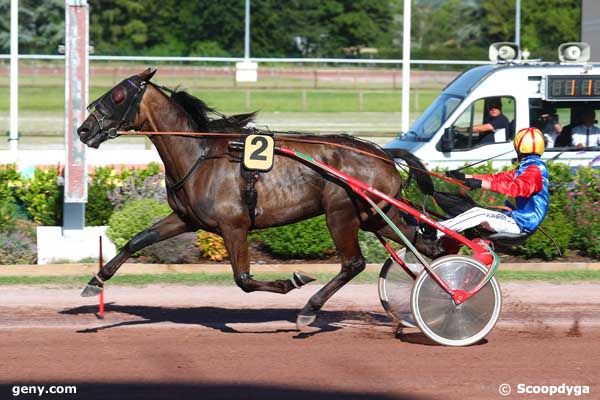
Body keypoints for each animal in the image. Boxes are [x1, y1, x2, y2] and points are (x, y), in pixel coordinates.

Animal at [76, 69, 440, 330]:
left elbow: (244, 280)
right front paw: (95, 282)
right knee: (421, 243)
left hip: (341, 213)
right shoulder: (185, 219)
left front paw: (294, 280)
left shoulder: (233, 225)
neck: (200, 154)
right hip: (377, 215)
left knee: (354, 263)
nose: (83, 130)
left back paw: (310, 309)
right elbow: (136, 241)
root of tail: (382, 154)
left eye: (118, 95)